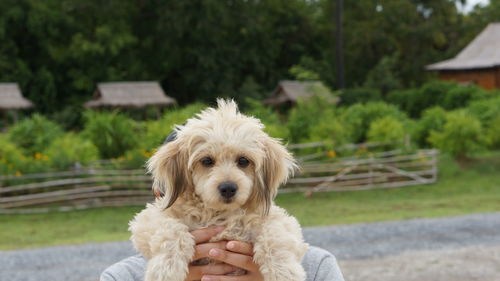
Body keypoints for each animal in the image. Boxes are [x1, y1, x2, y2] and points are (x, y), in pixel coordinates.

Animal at [129, 99, 308, 280]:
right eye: (207, 161)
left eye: (243, 161)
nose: (228, 188)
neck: (220, 214)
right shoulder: (146, 220)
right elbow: (171, 230)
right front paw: (167, 268)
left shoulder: (281, 221)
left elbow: (275, 235)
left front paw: (284, 272)